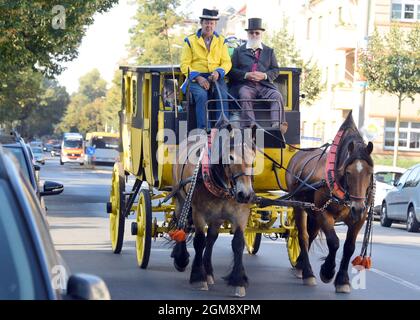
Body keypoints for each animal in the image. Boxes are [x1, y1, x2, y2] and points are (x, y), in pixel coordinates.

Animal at [170, 122, 256, 298]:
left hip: (217, 217)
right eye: (231, 157)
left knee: (211, 238)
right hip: (181, 199)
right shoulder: (198, 213)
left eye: (253, 157)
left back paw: (208, 272)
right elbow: (199, 241)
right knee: (182, 225)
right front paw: (198, 278)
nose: (245, 194)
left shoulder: (241, 214)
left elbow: (238, 243)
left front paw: (238, 282)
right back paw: (181, 259)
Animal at [286, 112, 374, 292]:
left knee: (311, 234)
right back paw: (307, 272)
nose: (358, 208)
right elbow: (334, 242)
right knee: (304, 236)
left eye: (369, 173)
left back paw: (300, 265)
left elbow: (349, 247)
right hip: (299, 206)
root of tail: (297, 156)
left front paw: (342, 280)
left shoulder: (359, 220)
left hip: (313, 213)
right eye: (348, 172)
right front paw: (327, 271)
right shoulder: (324, 213)